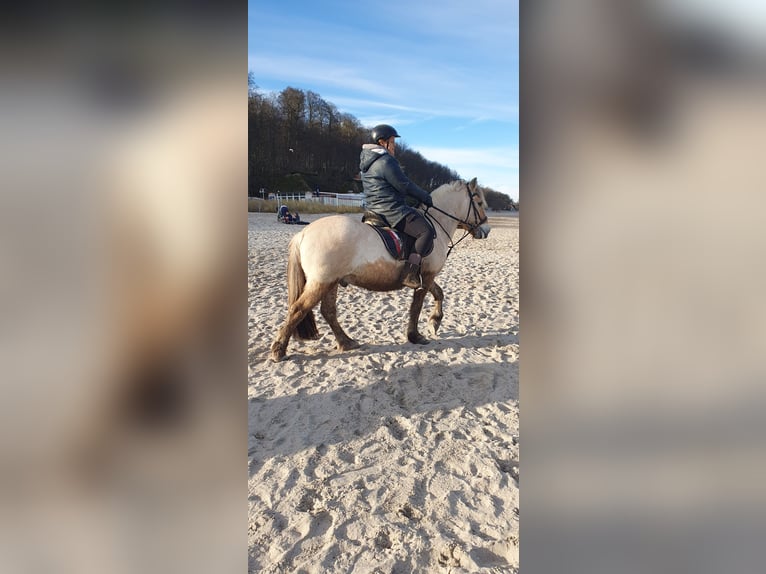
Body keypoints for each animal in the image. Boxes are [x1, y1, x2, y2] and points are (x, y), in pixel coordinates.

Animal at [268, 178, 492, 362]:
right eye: (480, 203)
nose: (486, 230)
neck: (437, 225)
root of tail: (304, 233)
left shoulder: (427, 276)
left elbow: (439, 293)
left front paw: (434, 322)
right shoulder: (426, 277)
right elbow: (417, 306)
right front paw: (416, 335)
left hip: (331, 282)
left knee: (328, 312)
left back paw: (346, 342)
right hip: (321, 282)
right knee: (298, 309)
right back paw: (279, 350)